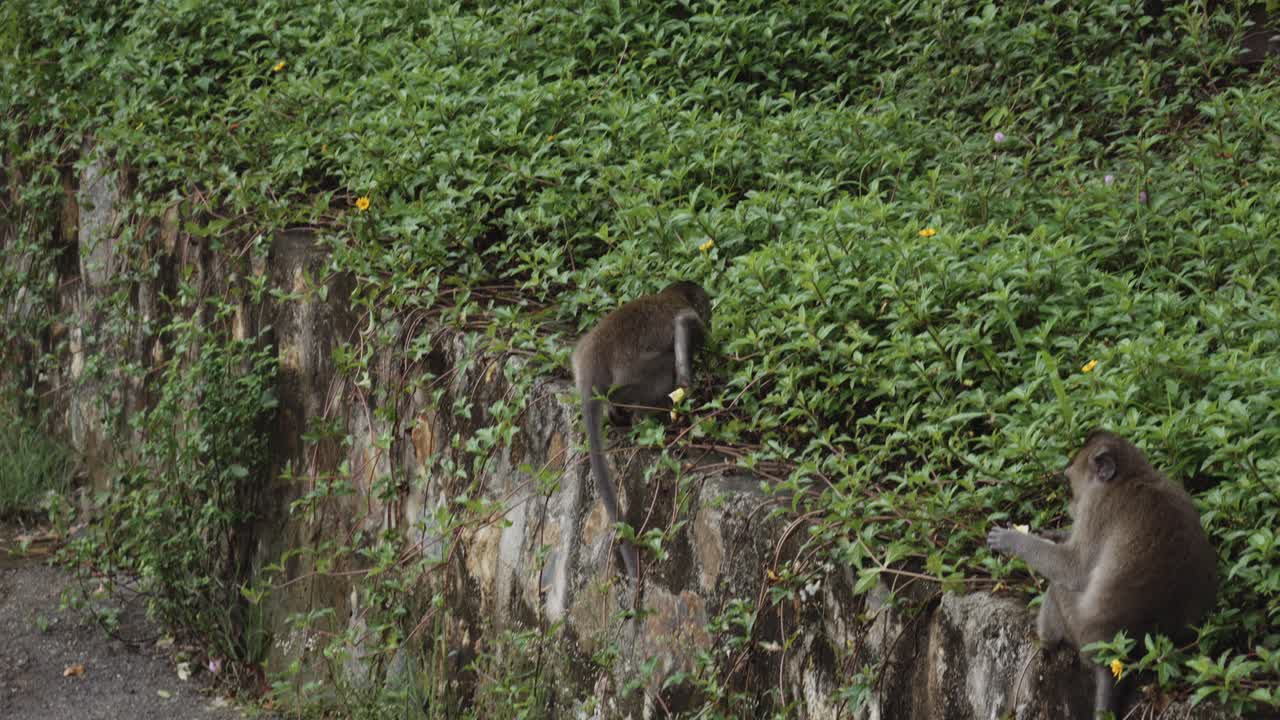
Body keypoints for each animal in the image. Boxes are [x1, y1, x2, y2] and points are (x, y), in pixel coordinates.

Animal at [571, 281, 712, 583]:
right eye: (707, 307)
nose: (711, 317)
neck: (670, 295)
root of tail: (592, 362)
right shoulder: (690, 318)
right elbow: (683, 326)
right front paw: (689, 386)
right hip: (633, 381)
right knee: (665, 366)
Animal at [987, 430, 1218, 718]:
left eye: (1070, 482)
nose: (1071, 504)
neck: (1132, 476)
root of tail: (1115, 655)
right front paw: (1053, 533)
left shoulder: (1096, 508)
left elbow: (1072, 567)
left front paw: (1011, 539)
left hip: (1078, 628)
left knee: (1059, 588)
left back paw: (1046, 642)